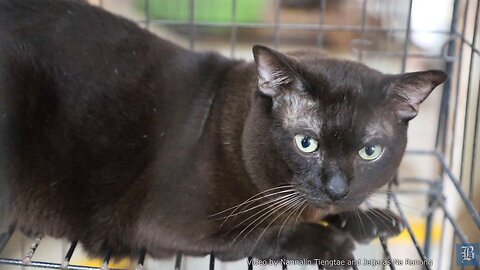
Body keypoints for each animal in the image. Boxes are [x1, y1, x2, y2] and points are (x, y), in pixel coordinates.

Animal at [0, 0, 446, 266]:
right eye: (307, 143)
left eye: (370, 152)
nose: (336, 188)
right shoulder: (173, 224)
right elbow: (263, 232)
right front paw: (334, 243)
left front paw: (370, 219)